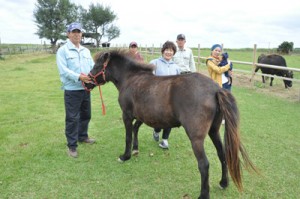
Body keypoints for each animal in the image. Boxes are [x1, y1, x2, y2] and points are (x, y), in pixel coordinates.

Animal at [83, 49, 256, 199]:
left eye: (97, 66)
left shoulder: (127, 114)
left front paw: (125, 156)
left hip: (197, 138)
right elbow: (135, 129)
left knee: (204, 164)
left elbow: (128, 135)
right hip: (214, 131)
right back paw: (223, 183)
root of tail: (215, 90)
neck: (131, 78)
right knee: (222, 154)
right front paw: (135, 149)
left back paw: (203, 195)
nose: (85, 82)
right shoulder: (141, 116)